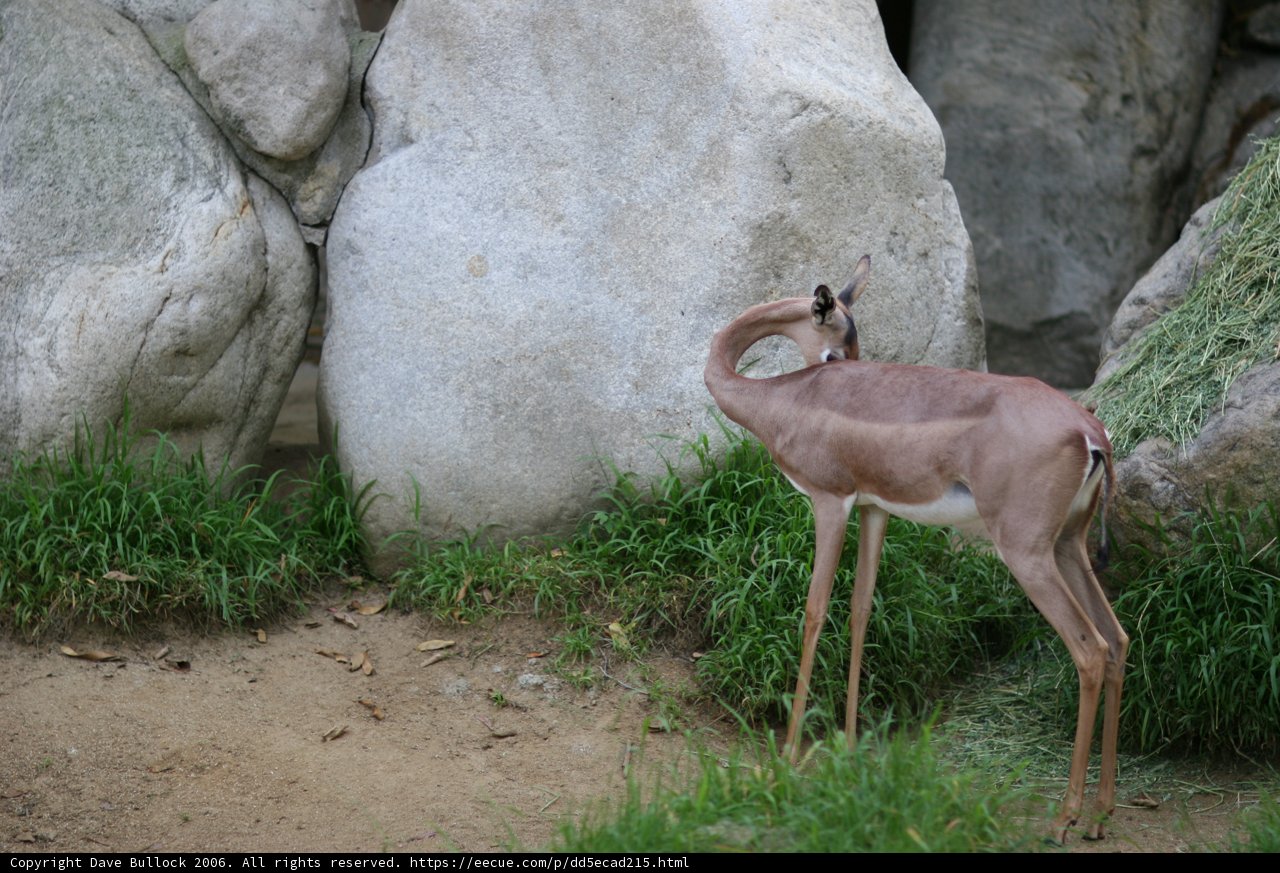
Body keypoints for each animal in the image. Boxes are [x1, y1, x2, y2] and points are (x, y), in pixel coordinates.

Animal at [703, 255, 1127, 843]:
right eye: (839, 347)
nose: (845, 370)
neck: (782, 400)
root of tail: (1091, 433)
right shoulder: (874, 509)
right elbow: (860, 609)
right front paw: (848, 748)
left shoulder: (829, 502)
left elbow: (814, 611)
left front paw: (786, 760)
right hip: (1069, 545)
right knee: (1118, 640)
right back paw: (1101, 815)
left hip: (1026, 552)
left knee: (1089, 650)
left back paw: (1063, 819)